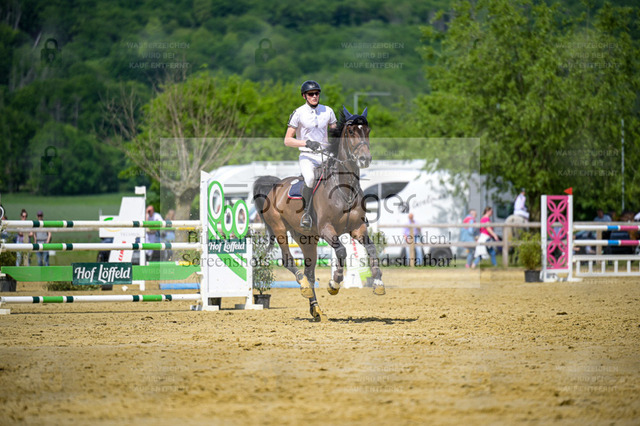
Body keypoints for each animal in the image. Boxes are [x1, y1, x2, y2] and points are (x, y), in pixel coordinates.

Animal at [252, 106, 385, 321]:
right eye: (351, 131)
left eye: (368, 130)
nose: (365, 159)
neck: (343, 187)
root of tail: (275, 186)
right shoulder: (326, 229)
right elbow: (341, 251)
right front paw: (334, 283)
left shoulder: (357, 229)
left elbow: (372, 249)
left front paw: (379, 283)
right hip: (280, 228)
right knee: (289, 261)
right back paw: (304, 287)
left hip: (306, 238)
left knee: (310, 270)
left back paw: (315, 308)